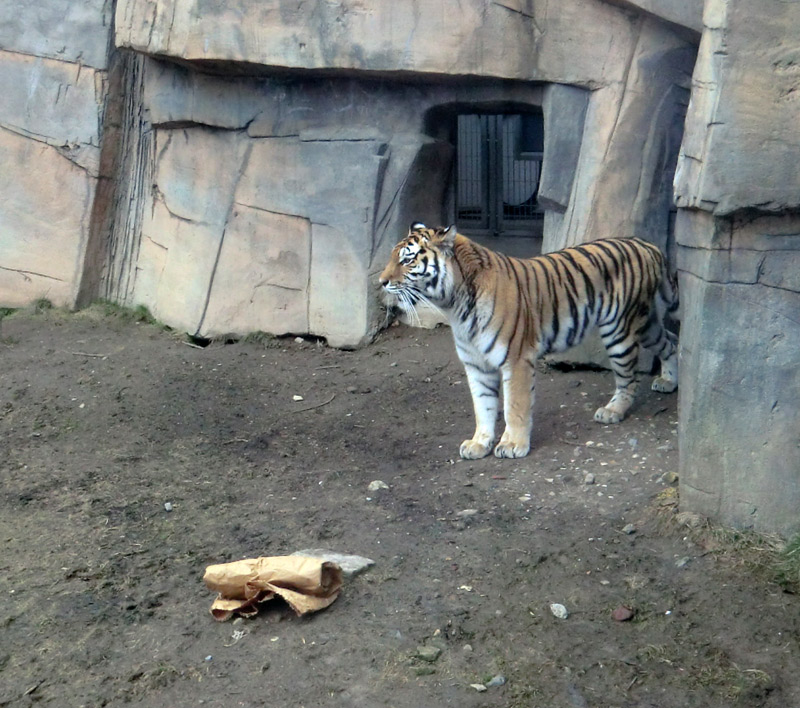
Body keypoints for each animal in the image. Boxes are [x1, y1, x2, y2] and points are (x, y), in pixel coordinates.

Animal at [378, 224, 680, 462]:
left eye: (407, 260)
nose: (381, 282)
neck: (454, 305)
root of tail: (646, 243)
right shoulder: (476, 365)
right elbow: (483, 407)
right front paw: (479, 444)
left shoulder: (516, 359)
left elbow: (515, 406)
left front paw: (512, 445)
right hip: (646, 324)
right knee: (671, 341)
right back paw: (668, 381)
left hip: (620, 328)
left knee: (629, 378)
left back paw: (613, 410)